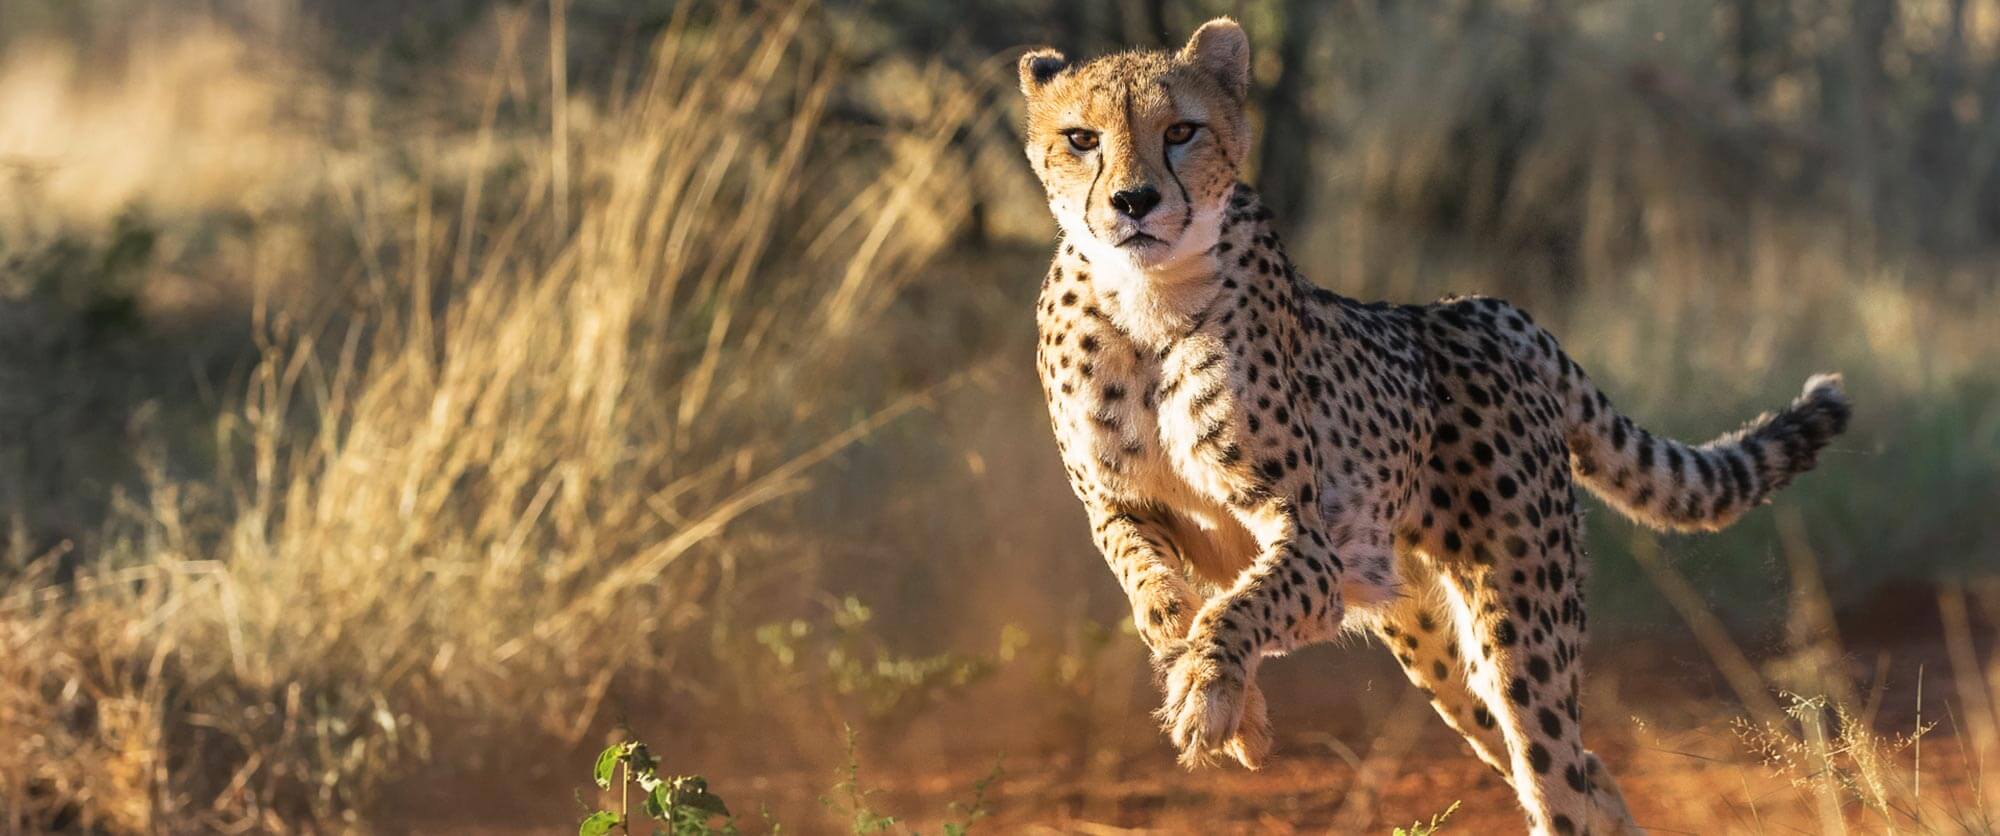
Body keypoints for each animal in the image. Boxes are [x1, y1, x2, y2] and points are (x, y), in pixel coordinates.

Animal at [1024, 16, 1848, 832]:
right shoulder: (1119, 505)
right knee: (1591, 772)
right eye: (1082, 138)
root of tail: (1487, 308)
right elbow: (1149, 579)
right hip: (1435, 648)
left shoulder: (1308, 539)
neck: (1146, 300)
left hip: (1518, 628)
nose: (1133, 201)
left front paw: (1211, 696)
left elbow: (1241, 607)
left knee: (1557, 774)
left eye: (1181, 131)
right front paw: (1205, 669)